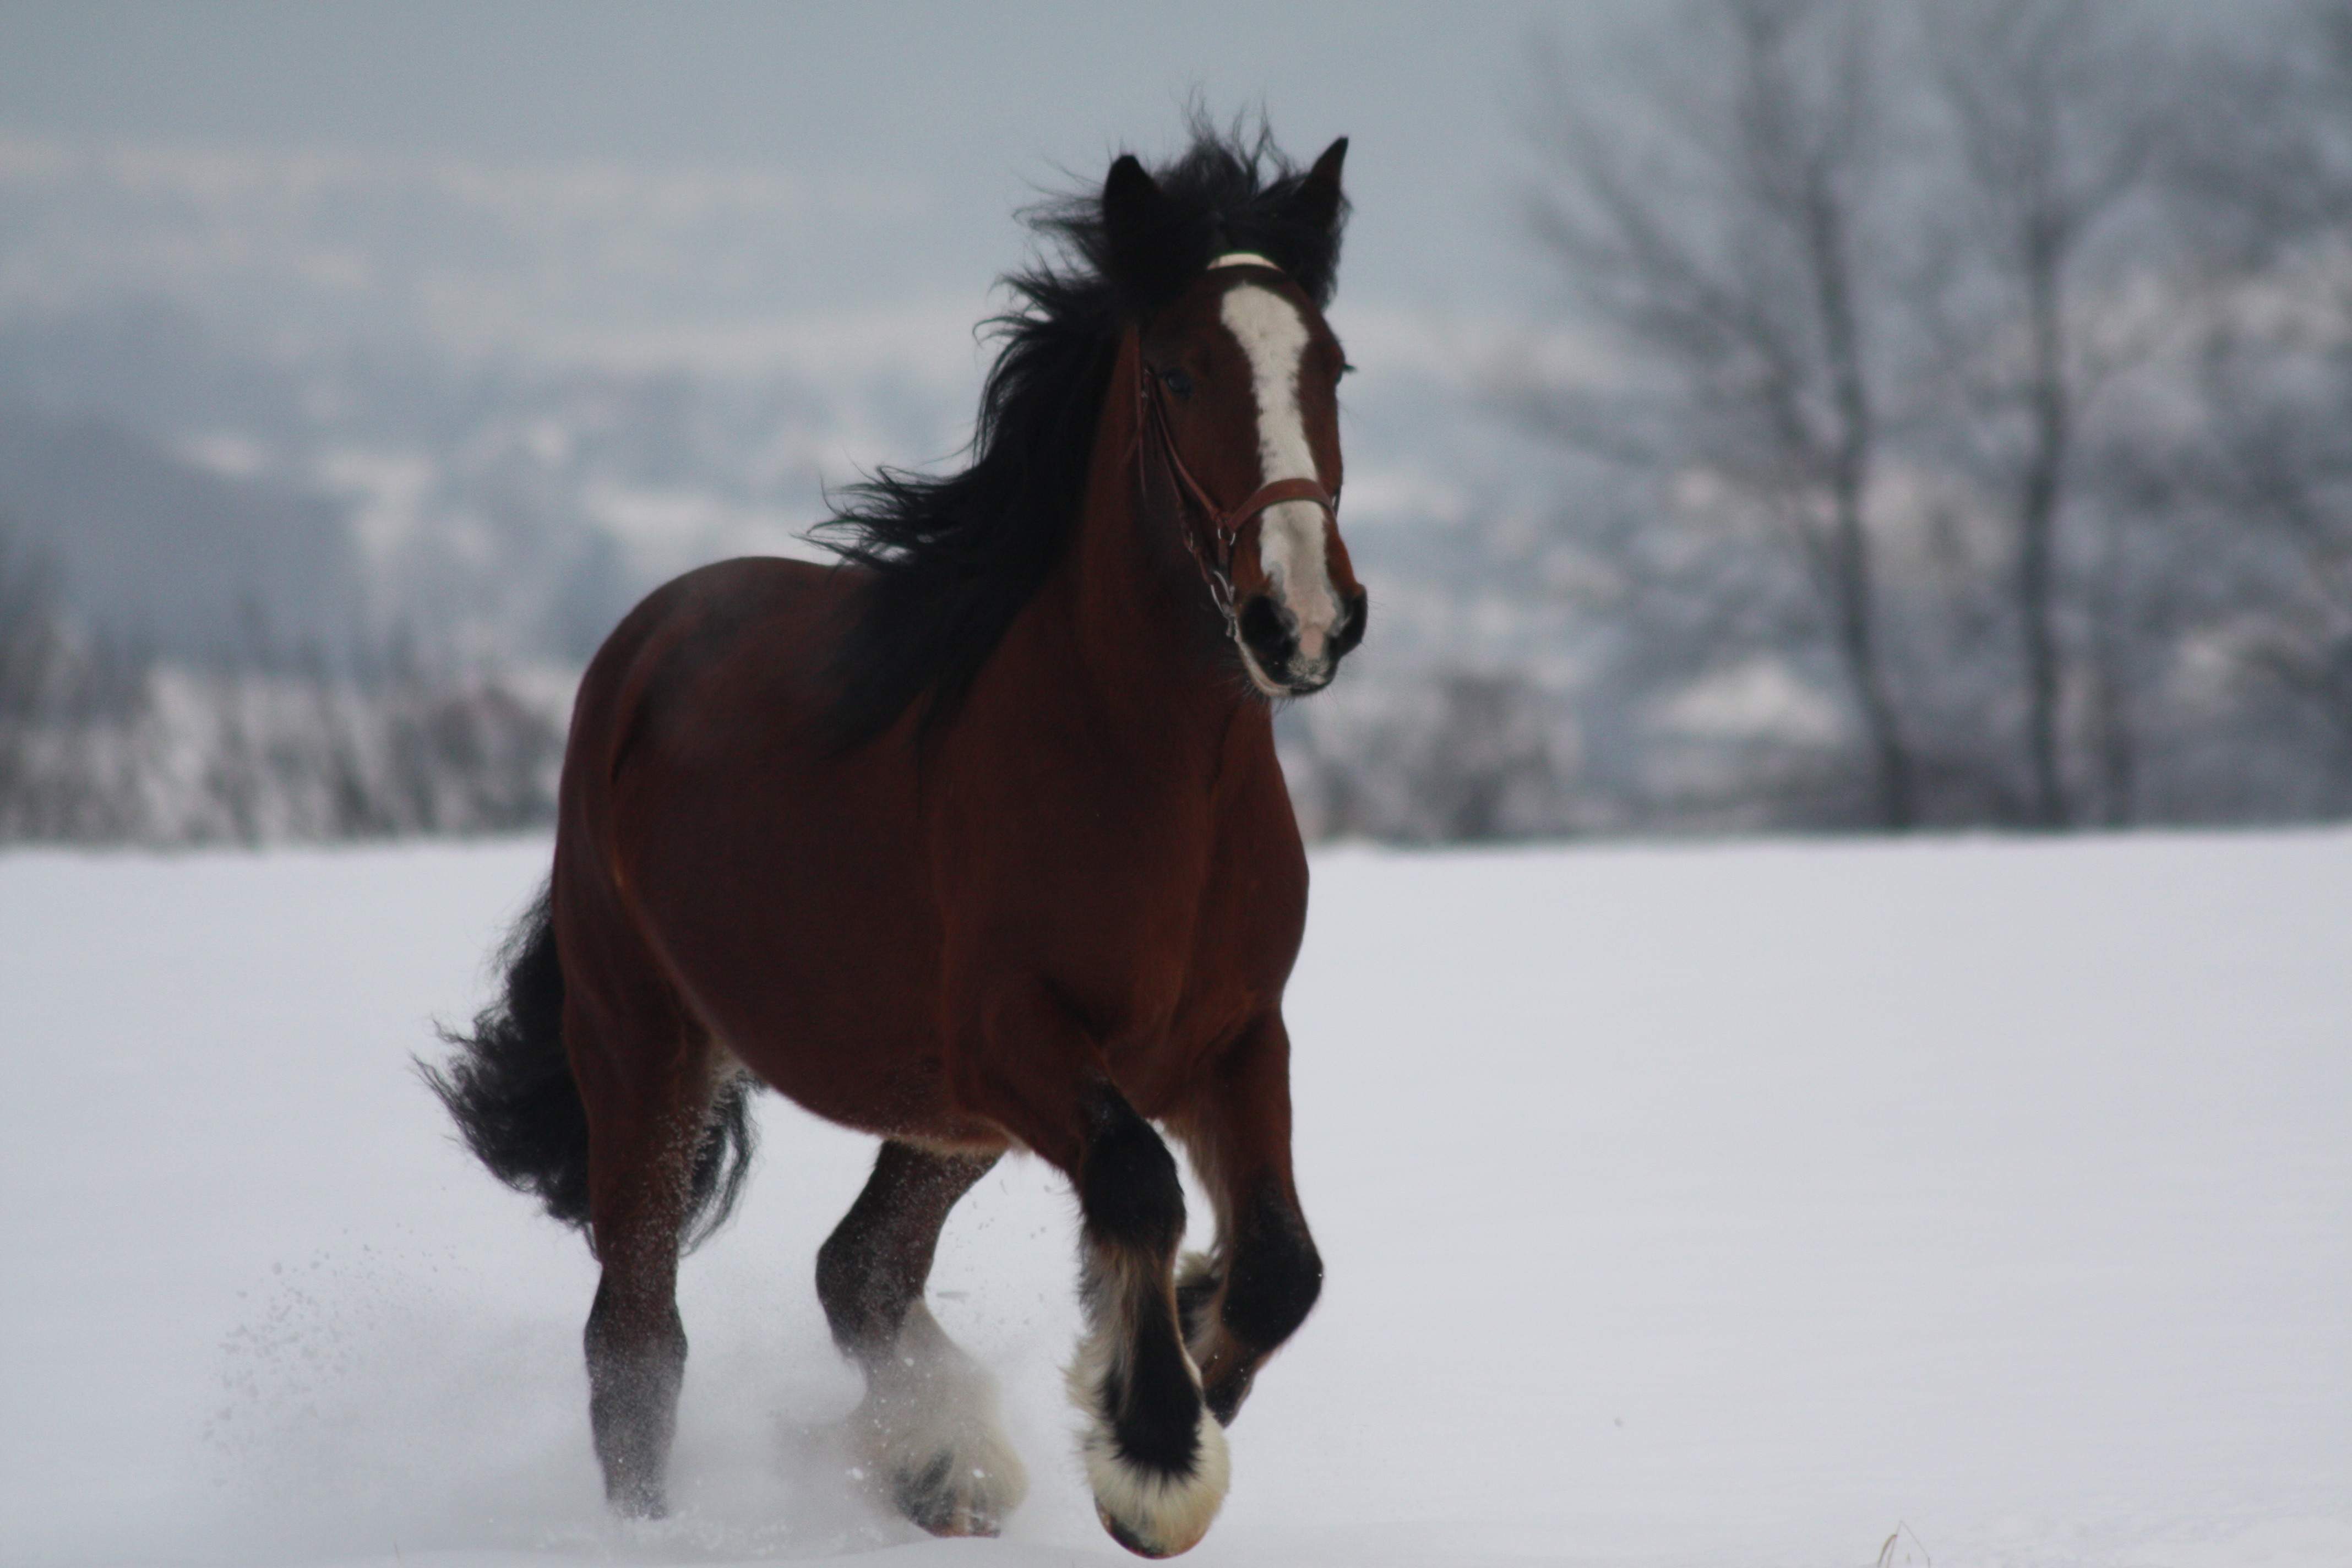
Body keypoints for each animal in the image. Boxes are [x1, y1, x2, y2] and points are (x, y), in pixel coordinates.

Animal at [426, 125, 1365, 1560]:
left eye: (1332, 366)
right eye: (1179, 368)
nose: (1302, 621)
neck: (1155, 776)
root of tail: (641, 643)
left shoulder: (1232, 1037)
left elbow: (1278, 1263)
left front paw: (1181, 1360)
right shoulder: (1021, 1036)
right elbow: (1142, 1185)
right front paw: (1152, 1455)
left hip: (942, 1115)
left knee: (855, 1264)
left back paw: (937, 1466)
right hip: (649, 1043)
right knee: (636, 1337)